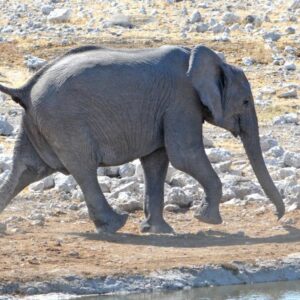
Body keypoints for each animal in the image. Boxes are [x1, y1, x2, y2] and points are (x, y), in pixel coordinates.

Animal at [0, 43, 284, 233]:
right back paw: (115, 224)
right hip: (65, 122)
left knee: (26, 169)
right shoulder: (181, 101)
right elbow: (184, 156)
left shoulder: (167, 109)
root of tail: (25, 88)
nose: (278, 217)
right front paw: (207, 220)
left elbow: (157, 162)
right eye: (245, 102)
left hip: (39, 123)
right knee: (83, 169)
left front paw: (159, 231)